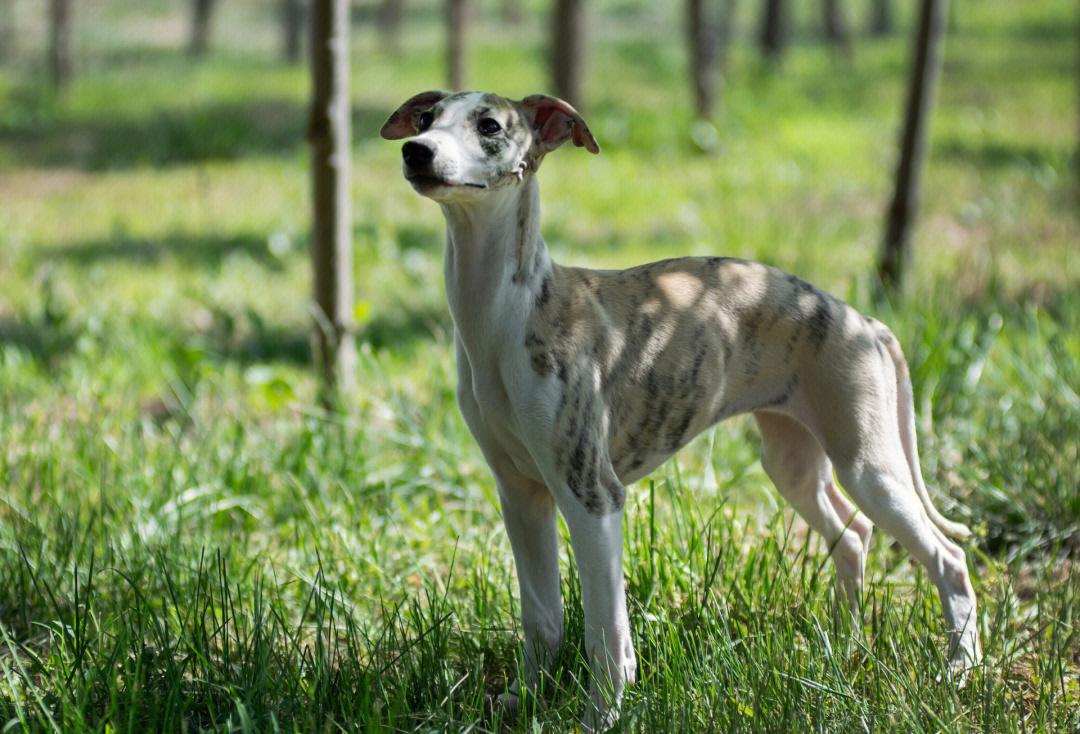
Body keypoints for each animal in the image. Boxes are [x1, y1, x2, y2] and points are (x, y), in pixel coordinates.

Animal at [380, 90, 980, 729]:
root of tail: (863, 320)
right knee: (855, 535)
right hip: (793, 460)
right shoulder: (521, 494)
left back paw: (959, 670)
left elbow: (606, 632)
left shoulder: (591, 494)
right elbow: (541, 616)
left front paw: (601, 717)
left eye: (489, 125)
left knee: (947, 557)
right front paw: (524, 699)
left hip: (869, 466)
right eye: (425, 119)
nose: (416, 152)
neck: (503, 319)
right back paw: (841, 648)